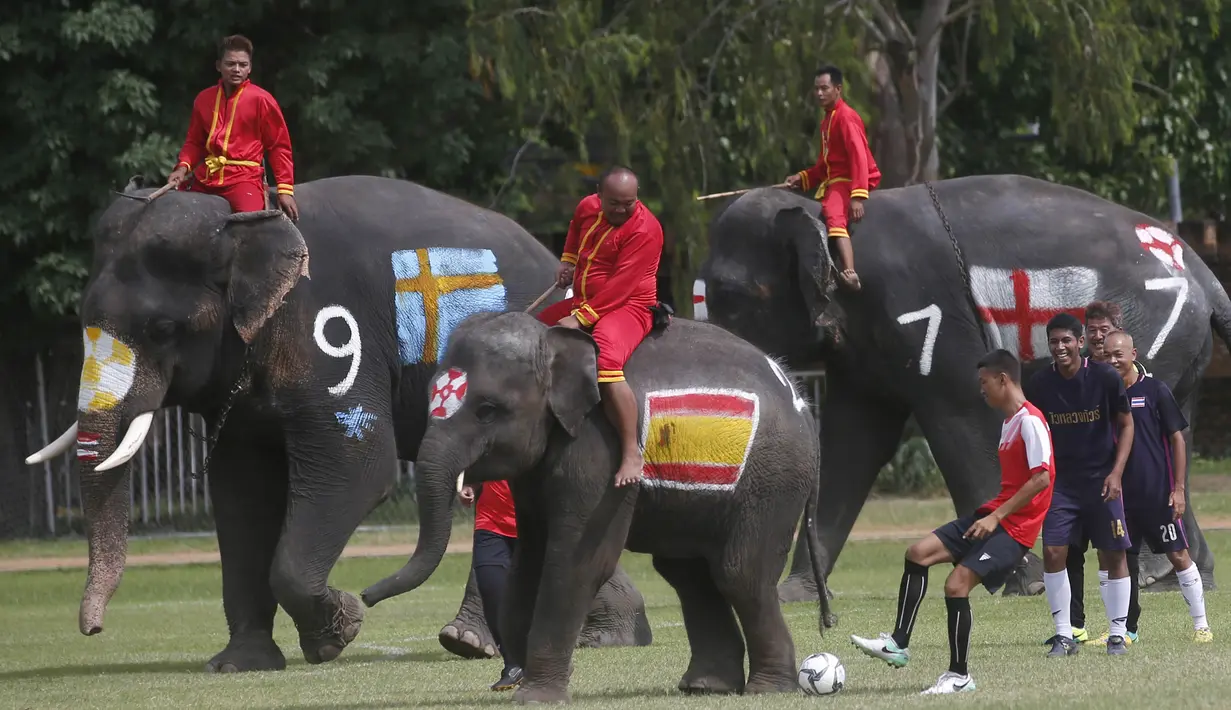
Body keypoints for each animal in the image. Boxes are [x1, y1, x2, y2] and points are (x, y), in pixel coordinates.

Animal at [24, 174, 649, 674]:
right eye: (81, 317)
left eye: (161, 329)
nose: (94, 629)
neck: (242, 225)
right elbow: (241, 491)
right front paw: (239, 666)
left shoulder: (331, 339)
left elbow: (358, 466)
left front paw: (338, 630)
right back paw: (600, 636)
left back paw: (481, 642)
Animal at [359, 311, 832, 703]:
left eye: (488, 410)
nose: (363, 596)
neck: (553, 341)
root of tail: (801, 399)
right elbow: (528, 559)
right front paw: (520, 681)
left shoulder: (600, 450)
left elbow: (578, 561)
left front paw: (535, 697)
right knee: (688, 574)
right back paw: (705, 686)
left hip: (772, 479)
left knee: (740, 573)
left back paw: (767, 689)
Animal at [694, 173, 1231, 598]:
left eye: (729, 297)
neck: (828, 216)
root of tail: (1202, 272)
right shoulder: (863, 355)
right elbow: (852, 445)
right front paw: (797, 594)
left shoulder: (925, 312)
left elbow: (961, 420)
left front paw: (1018, 581)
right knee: (1172, 435)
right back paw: (1173, 578)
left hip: (1150, 335)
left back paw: (1152, 575)